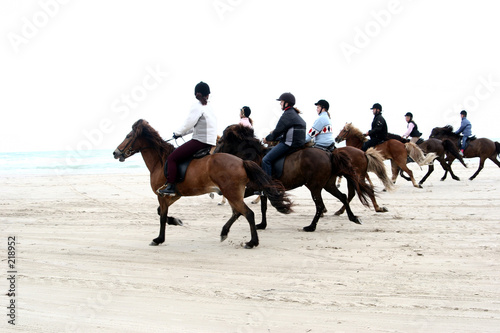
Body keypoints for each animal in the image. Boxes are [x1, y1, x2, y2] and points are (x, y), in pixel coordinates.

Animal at [112, 118, 292, 246]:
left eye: (128, 136)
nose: (115, 153)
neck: (160, 161)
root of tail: (241, 161)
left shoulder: (162, 195)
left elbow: (161, 216)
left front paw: (159, 239)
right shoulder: (174, 195)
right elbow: (160, 212)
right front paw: (176, 221)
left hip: (232, 193)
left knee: (248, 213)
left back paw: (252, 242)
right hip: (233, 194)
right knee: (237, 212)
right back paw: (224, 232)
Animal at [215, 123, 376, 230]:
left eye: (220, 141)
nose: (213, 155)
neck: (254, 157)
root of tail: (329, 154)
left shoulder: (252, 187)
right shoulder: (263, 190)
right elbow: (263, 207)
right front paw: (262, 224)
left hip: (315, 187)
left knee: (320, 205)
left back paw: (311, 226)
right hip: (328, 185)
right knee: (343, 196)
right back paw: (353, 218)